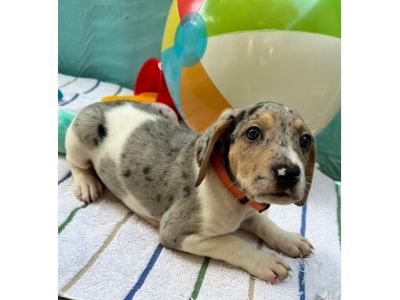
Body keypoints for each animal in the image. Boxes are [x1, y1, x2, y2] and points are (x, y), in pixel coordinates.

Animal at [65, 101, 316, 284]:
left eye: (305, 140)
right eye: (253, 133)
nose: (289, 173)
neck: (233, 195)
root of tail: (102, 104)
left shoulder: (249, 213)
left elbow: (265, 224)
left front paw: (289, 239)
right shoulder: (175, 232)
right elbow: (231, 241)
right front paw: (264, 260)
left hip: (166, 110)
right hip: (79, 139)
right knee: (75, 163)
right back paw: (86, 183)